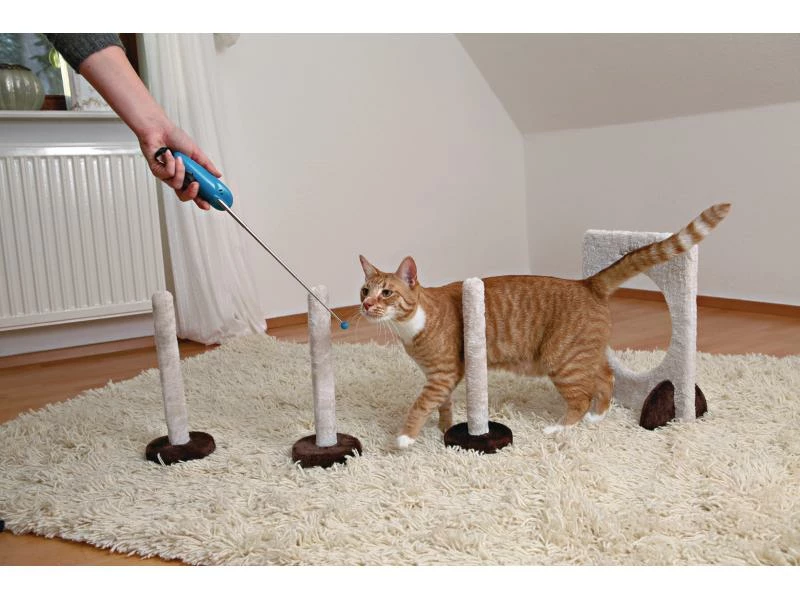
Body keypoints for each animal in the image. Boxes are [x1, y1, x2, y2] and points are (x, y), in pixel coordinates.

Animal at [358, 203, 730, 448]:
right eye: (364, 290)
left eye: (386, 292)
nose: (365, 305)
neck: (410, 327)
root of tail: (586, 283)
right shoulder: (442, 378)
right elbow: (442, 405)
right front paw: (442, 428)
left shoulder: (444, 373)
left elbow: (420, 404)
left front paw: (405, 437)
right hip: (582, 355)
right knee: (606, 377)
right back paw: (598, 417)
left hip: (561, 359)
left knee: (581, 396)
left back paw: (561, 428)